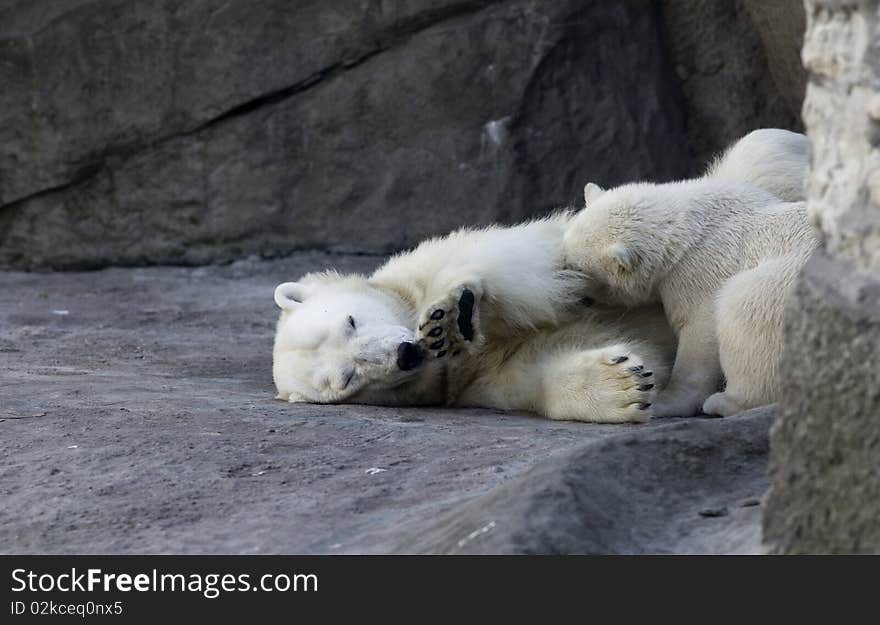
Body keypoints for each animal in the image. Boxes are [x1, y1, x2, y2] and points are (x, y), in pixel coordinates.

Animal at [560, 129, 816, 416]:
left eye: (578, 268)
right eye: (564, 255)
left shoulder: (699, 270)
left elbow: (699, 334)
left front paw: (663, 400)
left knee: (743, 307)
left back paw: (724, 402)